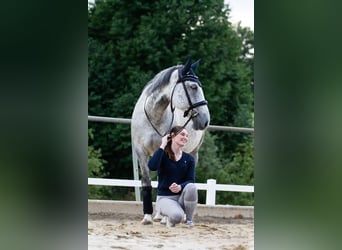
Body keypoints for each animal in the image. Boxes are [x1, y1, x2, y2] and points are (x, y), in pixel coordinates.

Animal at [132, 58, 210, 225]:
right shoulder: (141, 152)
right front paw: (147, 217)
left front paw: (163, 217)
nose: (205, 120)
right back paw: (158, 215)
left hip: (194, 153)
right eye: (193, 87)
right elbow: (147, 181)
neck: (154, 115)